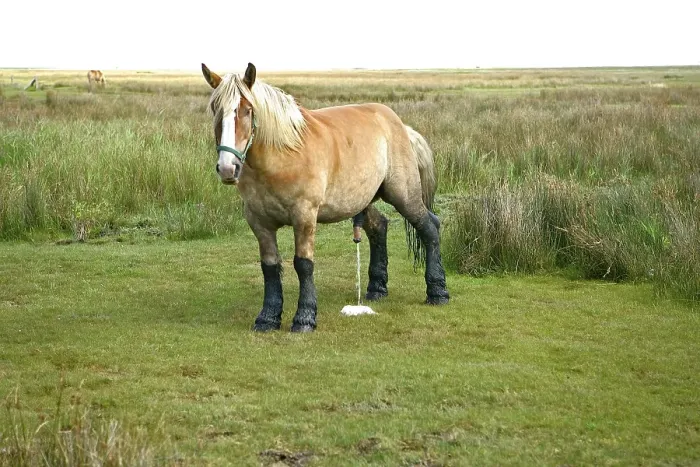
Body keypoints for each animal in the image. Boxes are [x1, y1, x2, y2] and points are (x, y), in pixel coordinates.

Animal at [201, 62, 450, 332]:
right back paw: (377, 289)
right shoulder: (259, 222)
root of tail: (401, 126)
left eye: (247, 110)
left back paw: (438, 292)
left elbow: (303, 264)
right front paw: (268, 318)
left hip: (403, 195)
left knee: (429, 227)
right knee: (379, 227)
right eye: (215, 110)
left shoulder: (304, 216)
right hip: (364, 199)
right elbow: (270, 266)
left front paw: (304, 318)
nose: (228, 168)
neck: (282, 157)